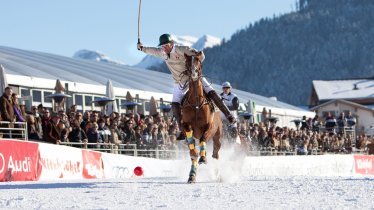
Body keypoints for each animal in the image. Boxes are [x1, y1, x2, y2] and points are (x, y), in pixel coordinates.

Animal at [181, 52, 222, 184]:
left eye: (198, 61)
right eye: (187, 62)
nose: (193, 73)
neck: (196, 104)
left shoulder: (208, 126)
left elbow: (203, 138)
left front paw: (203, 158)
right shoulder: (186, 125)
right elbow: (192, 149)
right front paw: (195, 155)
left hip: (218, 135)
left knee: (216, 152)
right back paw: (192, 175)